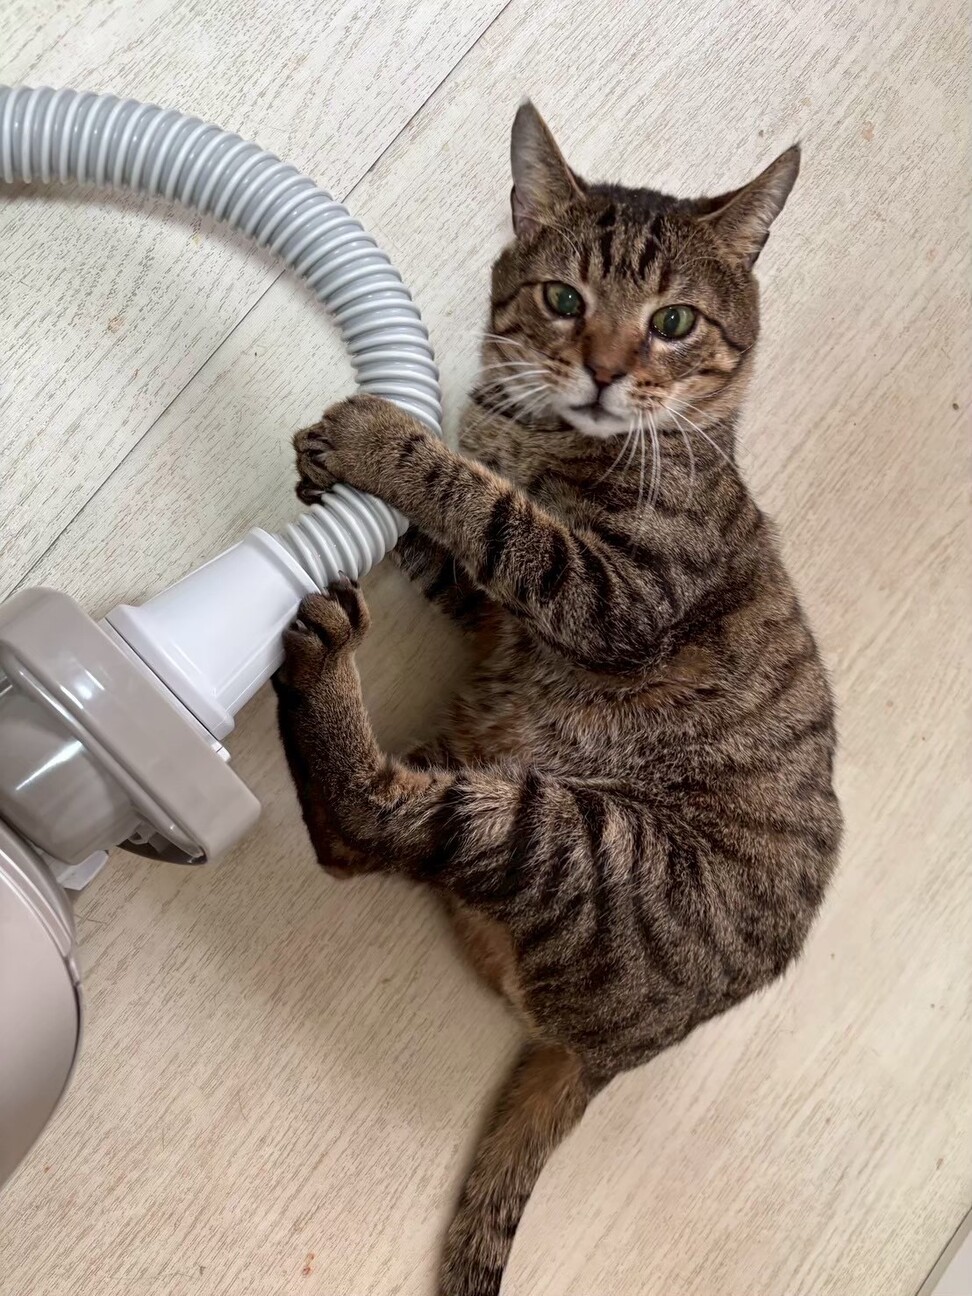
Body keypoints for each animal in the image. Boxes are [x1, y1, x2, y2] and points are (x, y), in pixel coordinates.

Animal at [273, 101, 842, 1296]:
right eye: (564, 299)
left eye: (672, 322)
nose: (605, 372)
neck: (542, 435)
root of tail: (609, 1054)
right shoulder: (490, 606)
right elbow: (466, 529)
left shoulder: (614, 591)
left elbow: (490, 509)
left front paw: (384, 438)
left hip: (588, 840)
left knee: (362, 832)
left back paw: (325, 683)